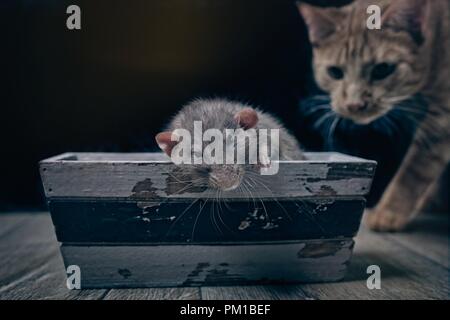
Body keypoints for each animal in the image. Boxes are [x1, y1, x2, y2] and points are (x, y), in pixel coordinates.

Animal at [298, 0, 448, 230]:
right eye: (335, 72)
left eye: (382, 69)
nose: (353, 104)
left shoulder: (441, 119)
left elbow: (413, 171)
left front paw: (388, 212)